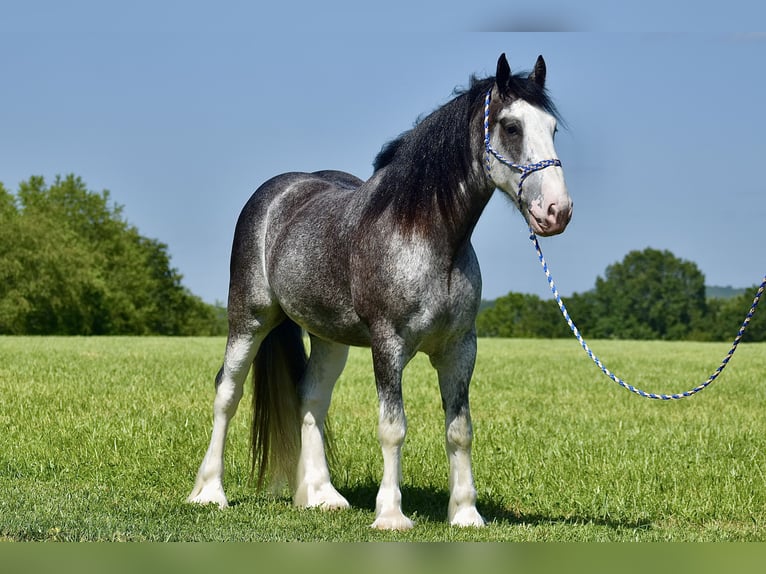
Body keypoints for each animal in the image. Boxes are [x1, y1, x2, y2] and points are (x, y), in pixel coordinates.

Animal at [189, 54, 572, 532]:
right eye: (511, 127)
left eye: (552, 127)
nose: (557, 211)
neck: (428, 238)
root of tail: (279, 193)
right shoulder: (388, 345)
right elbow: (393, 428)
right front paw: (391, 515)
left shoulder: (460, 348)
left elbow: (460, 430)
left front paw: (466, 514)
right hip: (249, 320)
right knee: (227, 393)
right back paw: (209, 493)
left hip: (329, 338)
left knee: (311, 397)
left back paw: (321, 496)